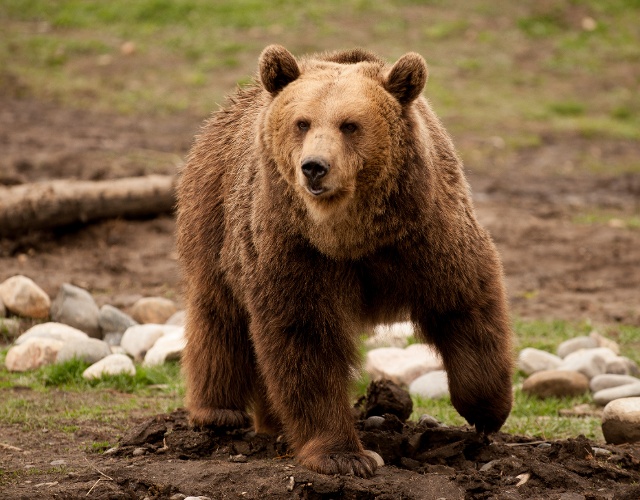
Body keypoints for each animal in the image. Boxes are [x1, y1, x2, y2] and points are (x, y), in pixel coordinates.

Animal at [175, 45, 516, 478]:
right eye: (302, 123)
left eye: (350, 125)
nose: (314, 167)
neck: (352, 237)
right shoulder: (295, 249)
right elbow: (304, 342)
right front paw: (345, 456)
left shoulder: (427, 236)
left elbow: (466, 306)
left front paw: (487, 413)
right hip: (214, 215)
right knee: (219, 314)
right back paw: (219, 412)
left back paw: (270, 421)